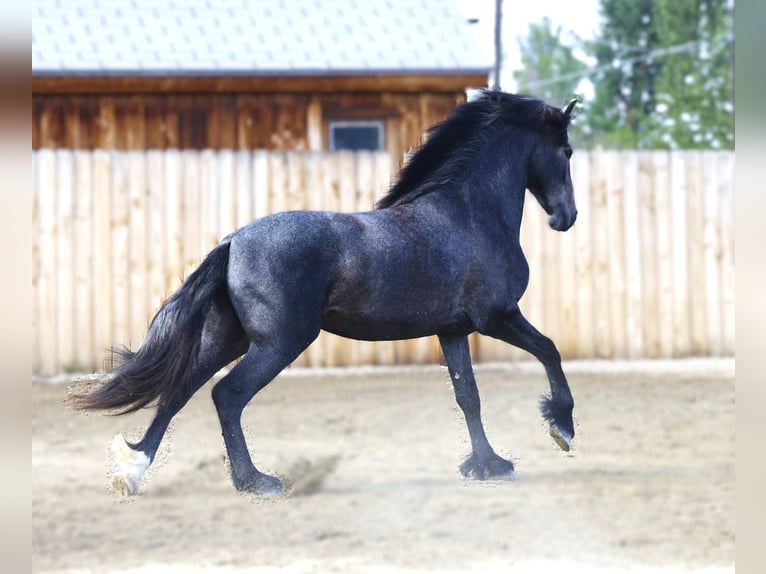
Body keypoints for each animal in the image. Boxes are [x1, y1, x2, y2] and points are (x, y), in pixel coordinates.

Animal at [71, 90, 579, 497]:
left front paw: (487, 465)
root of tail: (232, 242)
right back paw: (256, 481)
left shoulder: (452, 331)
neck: (468, 213)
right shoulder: (497, 317)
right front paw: (562, 427)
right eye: (568, 150)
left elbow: (467, 395)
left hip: (227, 339)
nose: (566, 217)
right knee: (227, 395)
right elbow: (550, 350)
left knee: (180, 391)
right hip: (280, 342)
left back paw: (133, 471)